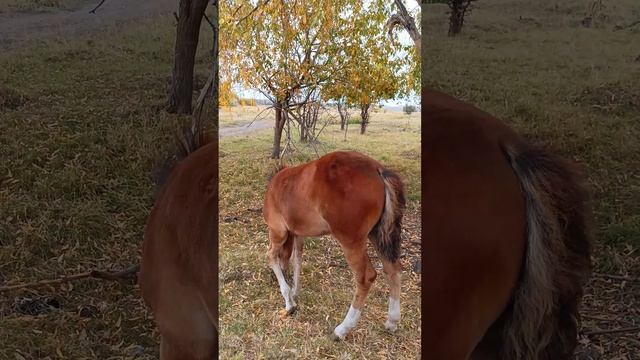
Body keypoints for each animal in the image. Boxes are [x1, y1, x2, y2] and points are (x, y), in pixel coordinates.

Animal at [264, 151, 404, 340]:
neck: (276, 186)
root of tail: (378, 169)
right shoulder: (299, 233)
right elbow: (297, 259)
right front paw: (294, 292)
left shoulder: (277, 230)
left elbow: (271, 256)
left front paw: (289, 301)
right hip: (377, 235)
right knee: (392, 269)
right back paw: (392, 322)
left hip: (351, 241)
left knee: (365, 277)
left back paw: (343, 329)